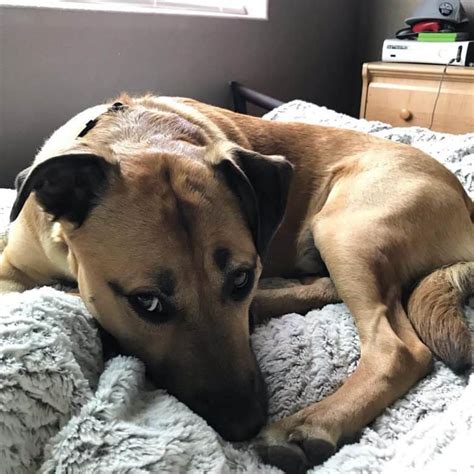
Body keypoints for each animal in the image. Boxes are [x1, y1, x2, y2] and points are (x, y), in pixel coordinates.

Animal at [0, 94, 474, 472]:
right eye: (147, 302)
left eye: (242, 278)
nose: (245, 425)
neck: (140, 131)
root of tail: (467, 202)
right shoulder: (11, 270)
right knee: (330, 288)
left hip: (347, 228)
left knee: (399, 348)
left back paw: (311, 424)